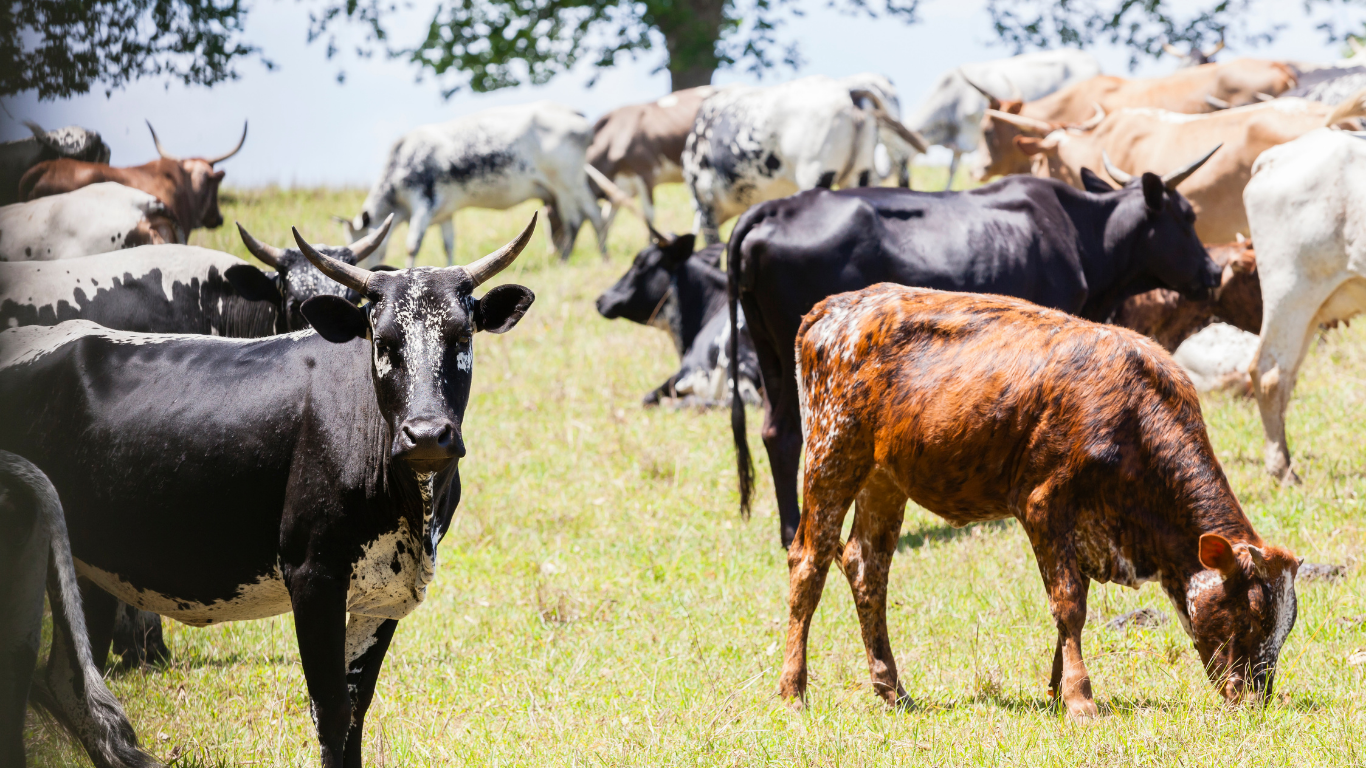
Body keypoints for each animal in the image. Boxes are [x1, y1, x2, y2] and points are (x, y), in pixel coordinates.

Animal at [344, 102, 605, 267]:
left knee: (582, 218)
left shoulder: (423, 203)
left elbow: (412, 245)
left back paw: (581, 260)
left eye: (362, 246)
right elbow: (448, 245)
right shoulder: (444, 214)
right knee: (585, 216)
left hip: (567, 183)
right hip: (567, 187)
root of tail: (575, 115)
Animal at [726, 155, 1223, 546]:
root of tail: (775, 207)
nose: (1215, 271)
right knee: (789, 436)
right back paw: (792, 529)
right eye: (1187, 216)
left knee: (773, 432)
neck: (1082, 233)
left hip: (772, 355)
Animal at [784, 283, 1300, 718]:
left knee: (866, 569)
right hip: (831, 452)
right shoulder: (1042, 503)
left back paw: (892, 690)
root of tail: (834, 308)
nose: (1254, 698)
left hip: (883, 479)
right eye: (1252, 617)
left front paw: (1055, 690)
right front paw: (1079, 698)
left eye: (1285, 626)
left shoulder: (1082, 528)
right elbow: (1069, 604)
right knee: (809, 563)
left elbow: (1071, 606)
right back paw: (794, 690)